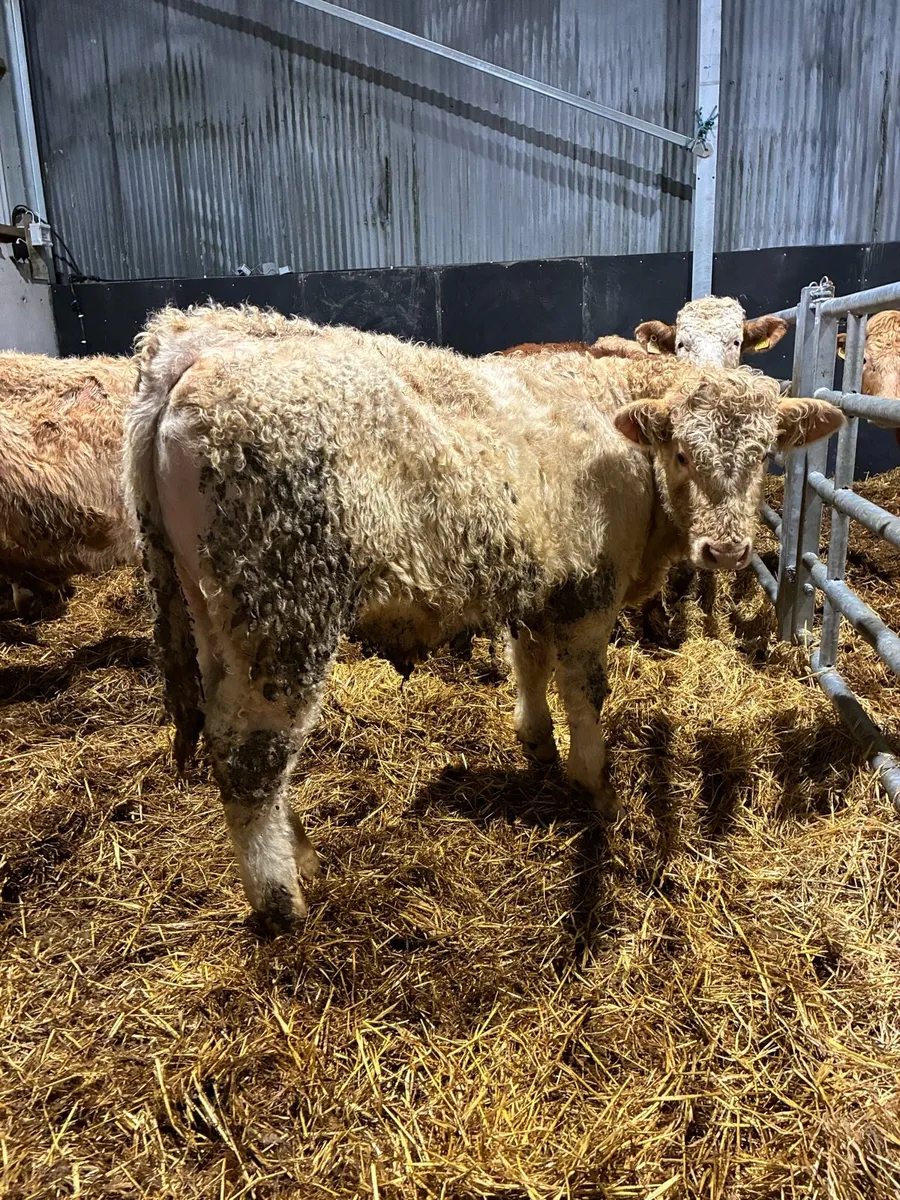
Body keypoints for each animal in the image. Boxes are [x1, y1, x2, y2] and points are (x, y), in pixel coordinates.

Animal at [125, 304, 841, 928]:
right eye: (684, 454)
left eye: (764, 456)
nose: (726, 549)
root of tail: (193, 340)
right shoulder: (592, 589)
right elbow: (585, 686)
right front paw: (594, 779)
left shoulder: (541, 580)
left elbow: (530, 661)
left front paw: (537, 740)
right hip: (284, 615)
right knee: (251, 756)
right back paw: (282, 901)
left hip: (213, 616)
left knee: (232, 737)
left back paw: (301, 854)